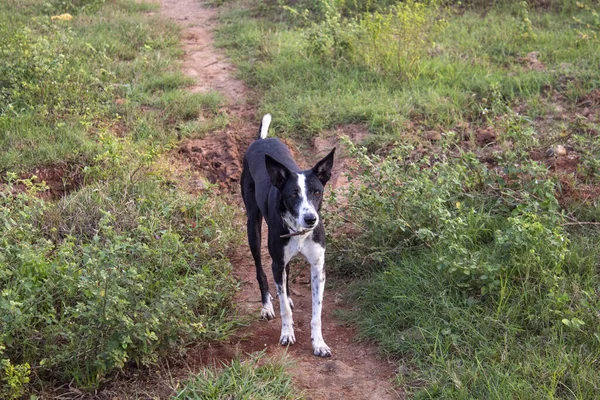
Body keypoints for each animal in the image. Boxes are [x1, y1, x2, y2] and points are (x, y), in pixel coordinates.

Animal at [239, 114, 336, 358]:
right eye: (293, 194)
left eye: (317, 192)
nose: (310, 219)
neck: (299, 231)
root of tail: (261, 139)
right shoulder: (276, 261)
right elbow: (283, 308)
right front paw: (287, 333)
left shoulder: (318, 267)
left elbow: (316, 312)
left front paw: (319, 343)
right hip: (253, 228)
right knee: (261, 271)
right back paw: (266, 306)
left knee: (286, 272)